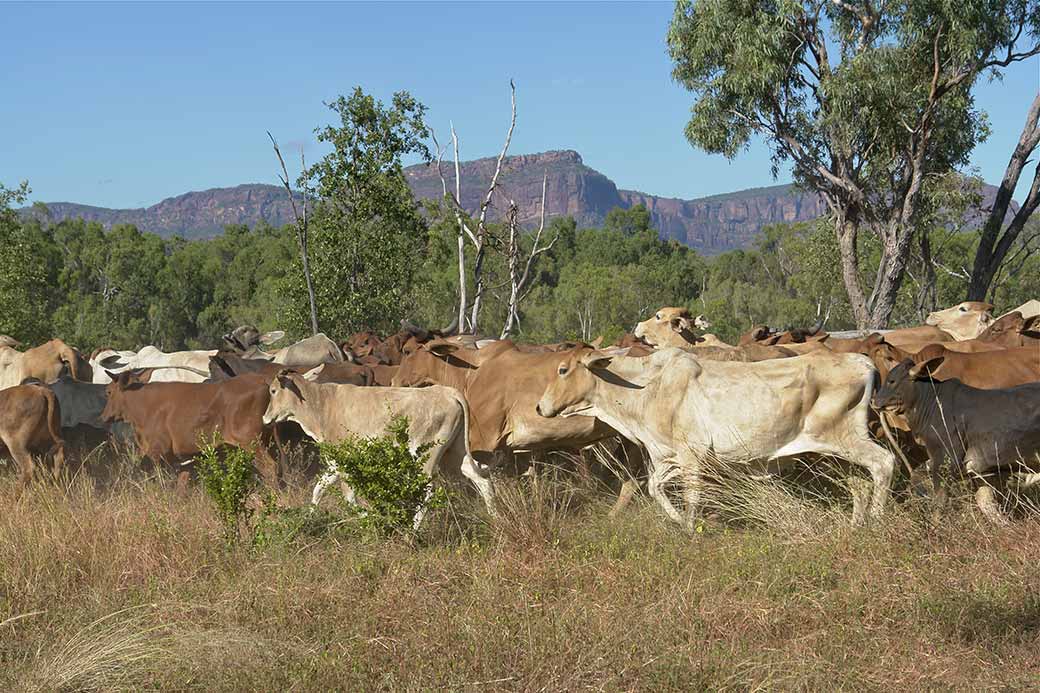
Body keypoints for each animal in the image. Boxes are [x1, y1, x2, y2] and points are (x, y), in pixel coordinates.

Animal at [266, 366, 497, 524]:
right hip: (455, 453)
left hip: (425, 455)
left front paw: (373, 517)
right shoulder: (334, 464)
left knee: (428, 491)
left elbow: (349, 497)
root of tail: (448, 392)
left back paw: (412, 530)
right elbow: (318, 489)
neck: (323, 404)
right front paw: (309, 518)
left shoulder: (346, 461)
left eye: (273, 390)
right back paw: (494, 517)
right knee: (481, 479)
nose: (265, 417)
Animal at [536, 343, 894, 526]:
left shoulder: (692, 455)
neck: (648, 387)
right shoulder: (666, 455)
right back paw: (855, 526)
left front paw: (690, 527)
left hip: (848, 439)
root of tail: (863, 361)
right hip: (836, 450)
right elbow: (654, 487)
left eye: (563, 369)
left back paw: (877, 520)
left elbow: (691, 497)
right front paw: (678, 520)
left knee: (884, 463)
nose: (540, 406)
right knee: (860, 484)